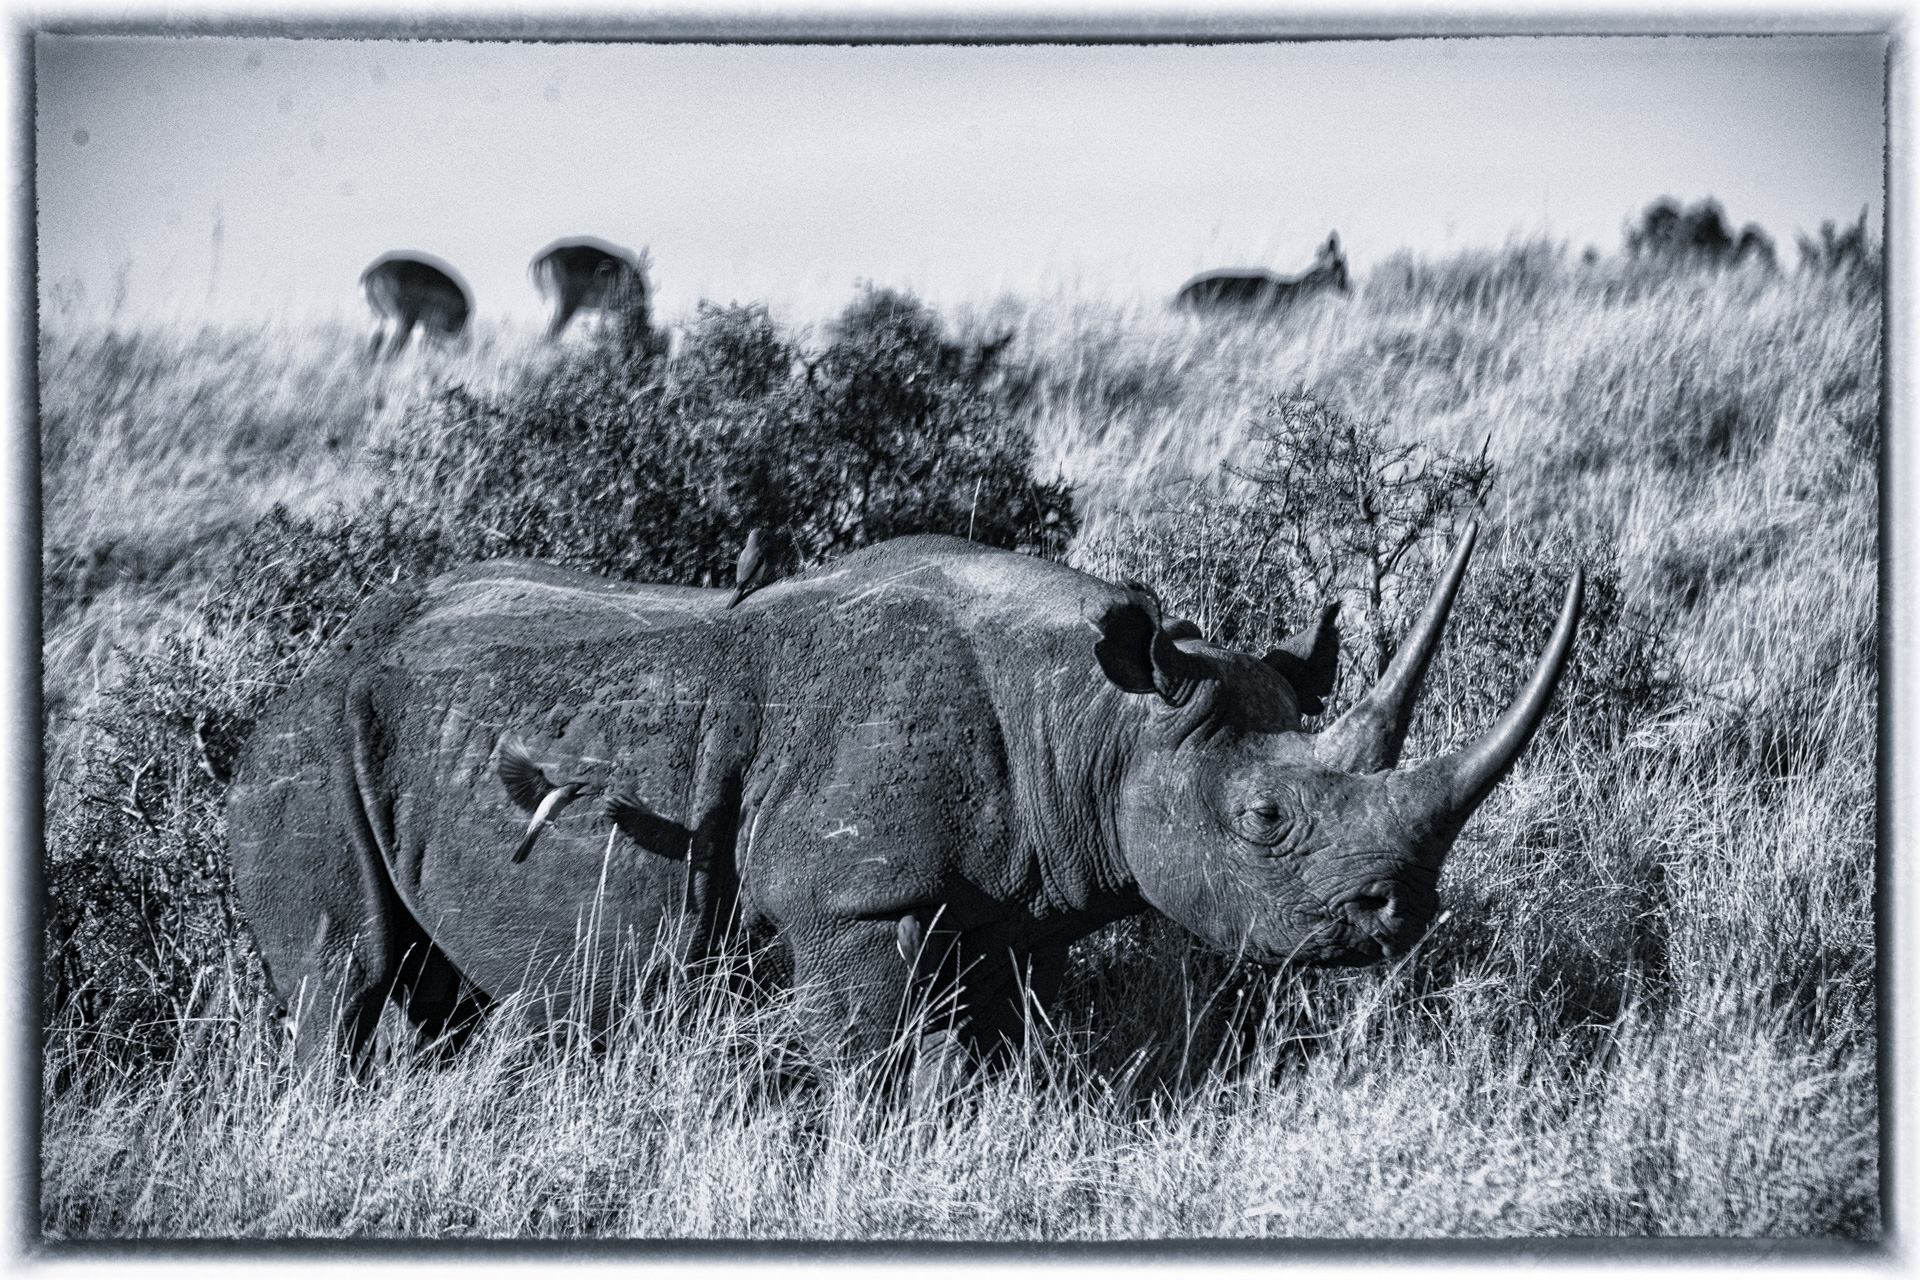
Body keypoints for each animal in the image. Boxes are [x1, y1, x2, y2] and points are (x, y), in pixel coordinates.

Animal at [226, 527, 1580, 1074]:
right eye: (1265, 820)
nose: (1398, 914)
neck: (1098, 719)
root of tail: (299, 664)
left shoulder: (1011, 904)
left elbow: (989, 1047)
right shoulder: (853, 901)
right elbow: (880, 1059)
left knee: (434, 987)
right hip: (306, 745)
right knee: (345, 978)